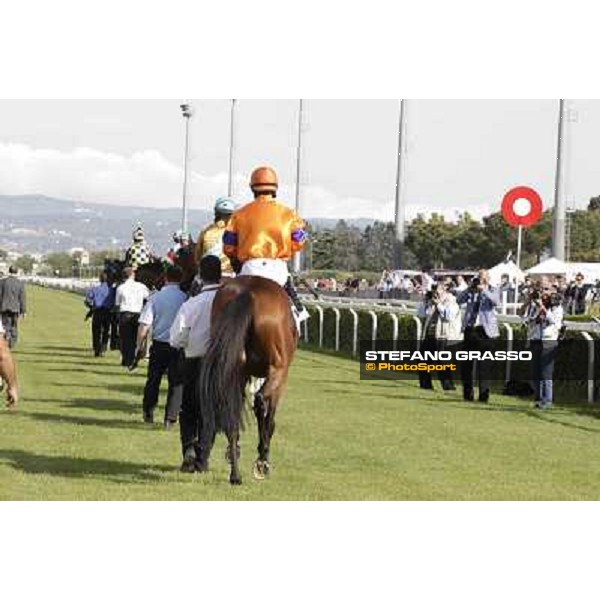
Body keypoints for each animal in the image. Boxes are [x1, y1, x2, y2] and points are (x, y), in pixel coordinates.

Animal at [198, 274, 298, 486]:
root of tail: (247, 293)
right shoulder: (279, 375)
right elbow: (269, 415)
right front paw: (263, 456)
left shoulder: (243, 373)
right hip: (277, 368)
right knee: (260, 401)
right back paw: (261, 461)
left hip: (233, 368)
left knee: (231, 411)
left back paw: (235, 473)